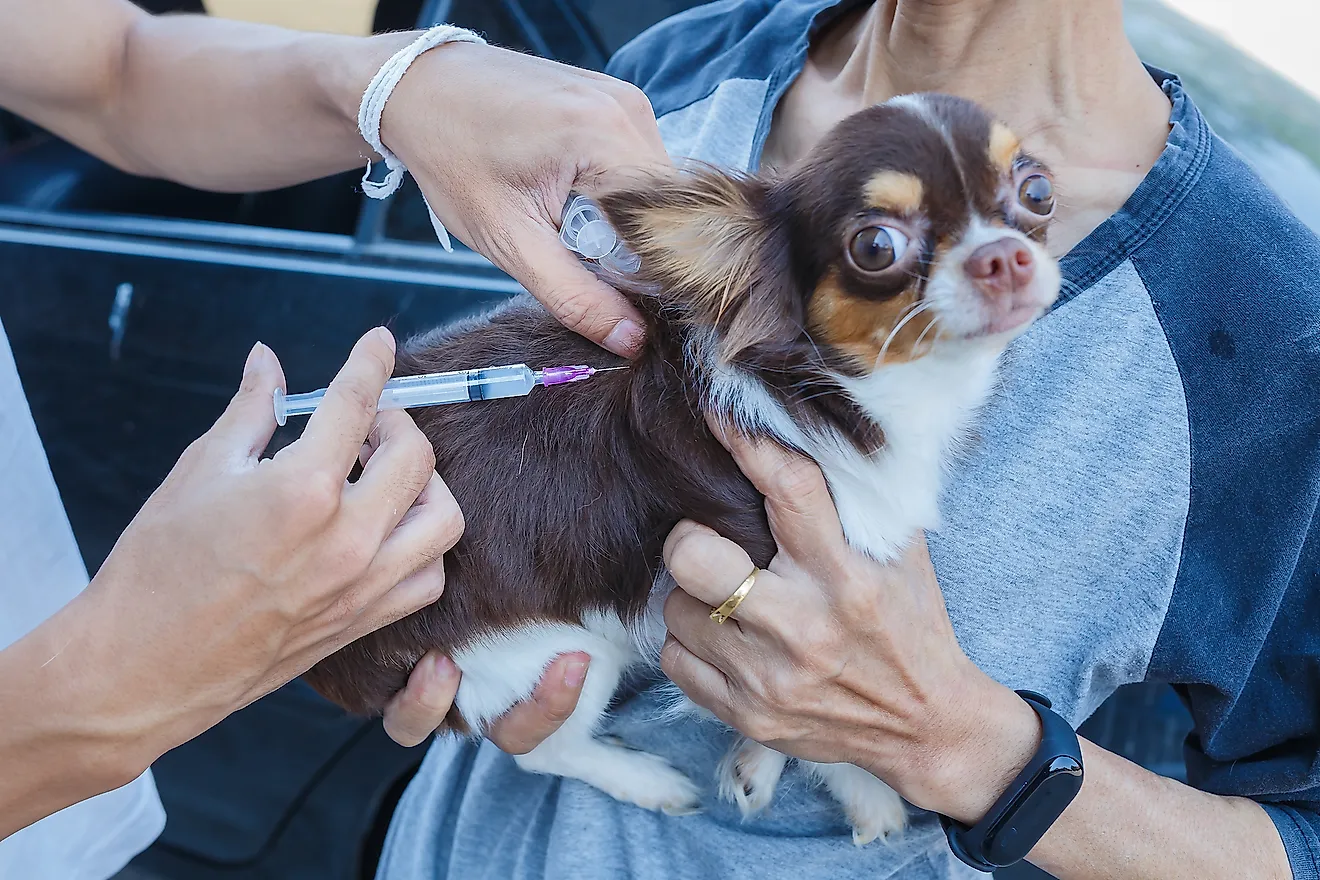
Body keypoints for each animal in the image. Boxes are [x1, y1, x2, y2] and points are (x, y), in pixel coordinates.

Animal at [302, 93, 1061, 844]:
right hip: (548, 652)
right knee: (543, 751)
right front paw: (867, 793)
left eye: (1038, 192)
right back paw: (651, 782)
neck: (837, 393)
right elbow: (818, 728)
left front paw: (761, 767)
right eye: (876, 248)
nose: (1006, 256)